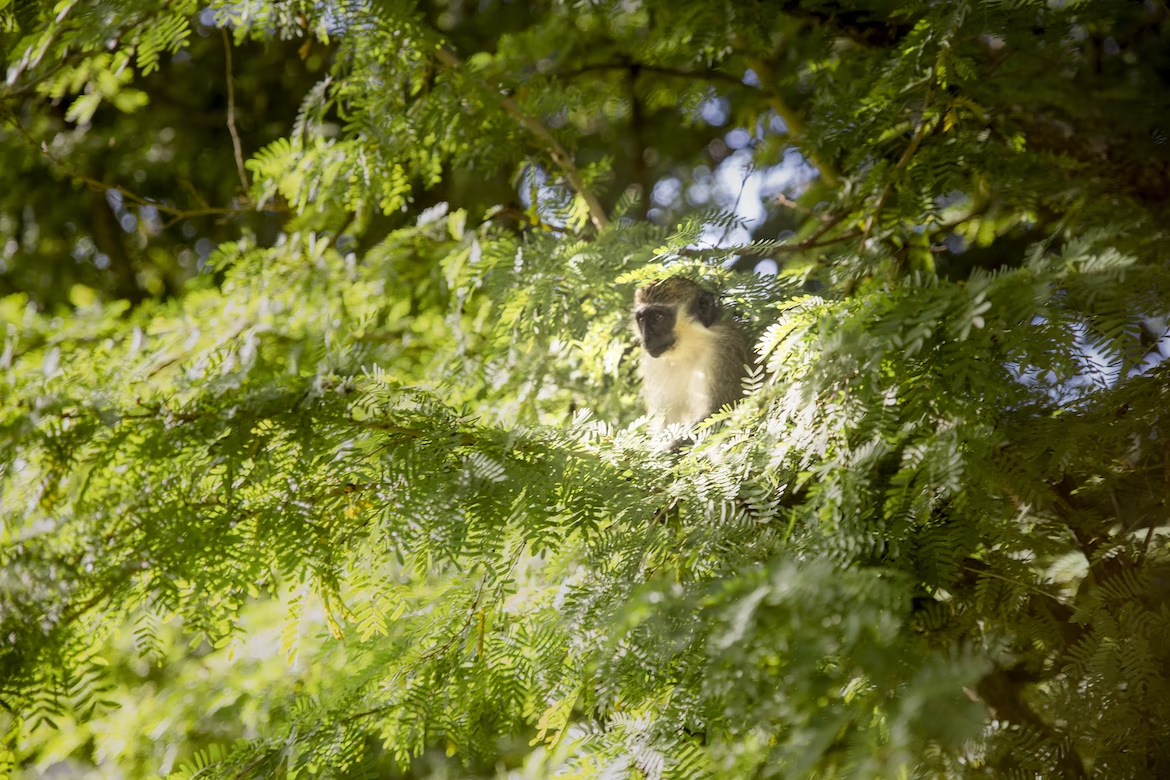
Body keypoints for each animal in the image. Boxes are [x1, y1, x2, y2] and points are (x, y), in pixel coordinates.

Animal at [631, 275, 748, 432]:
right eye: (642, 319)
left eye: (658, 317)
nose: (646, 339)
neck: (686, 352)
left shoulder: (723, 353)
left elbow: (721, 411)